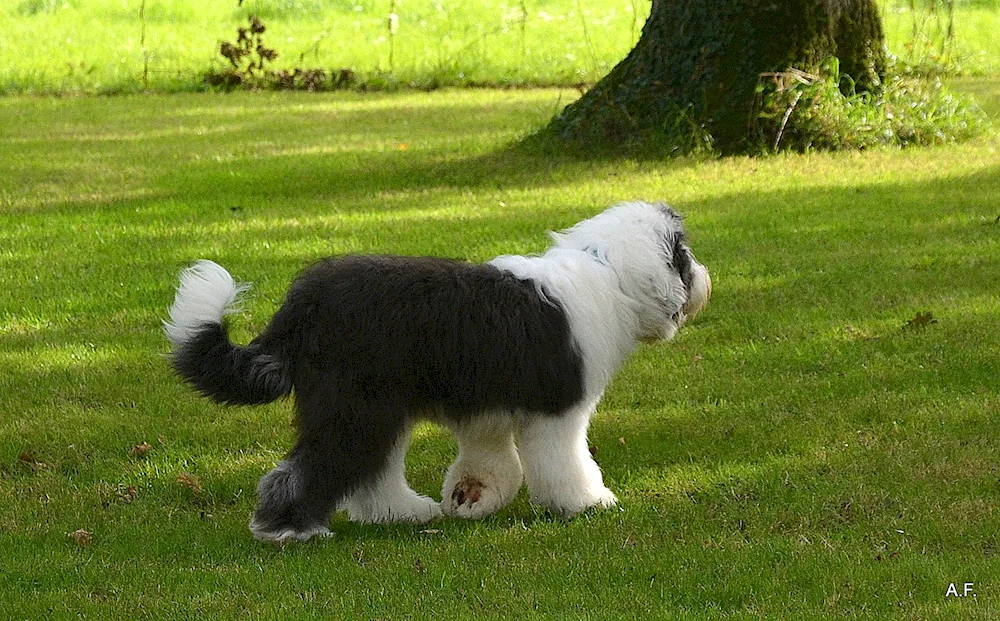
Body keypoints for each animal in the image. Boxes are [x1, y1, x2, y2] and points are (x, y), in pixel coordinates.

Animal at [166, 201, 712, 540]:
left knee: (373, 476)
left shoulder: (488, 413)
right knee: (313, 467)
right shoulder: (559, 412)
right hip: (355, 406)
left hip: (379, 408)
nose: (706, 278)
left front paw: (473, 497)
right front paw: (587, 501)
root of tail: (303, 305)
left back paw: (404, 513)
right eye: (684, 254)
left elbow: (490, 460)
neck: (607, 273)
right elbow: (567, 462)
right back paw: (289, 530)